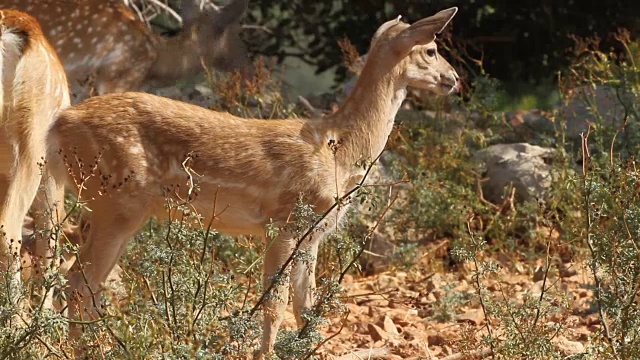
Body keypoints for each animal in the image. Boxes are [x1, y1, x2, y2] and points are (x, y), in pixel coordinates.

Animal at [47, 6, 460, 358]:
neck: (339, 150)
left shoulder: (313, 233)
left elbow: (306, 307)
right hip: (115, 199)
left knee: (81, 282)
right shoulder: (284, 221)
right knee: (78, 283)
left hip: (113, 207)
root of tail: (59, 125)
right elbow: (275, 305)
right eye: (431, 50)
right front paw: (265, 353)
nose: (454, 80)